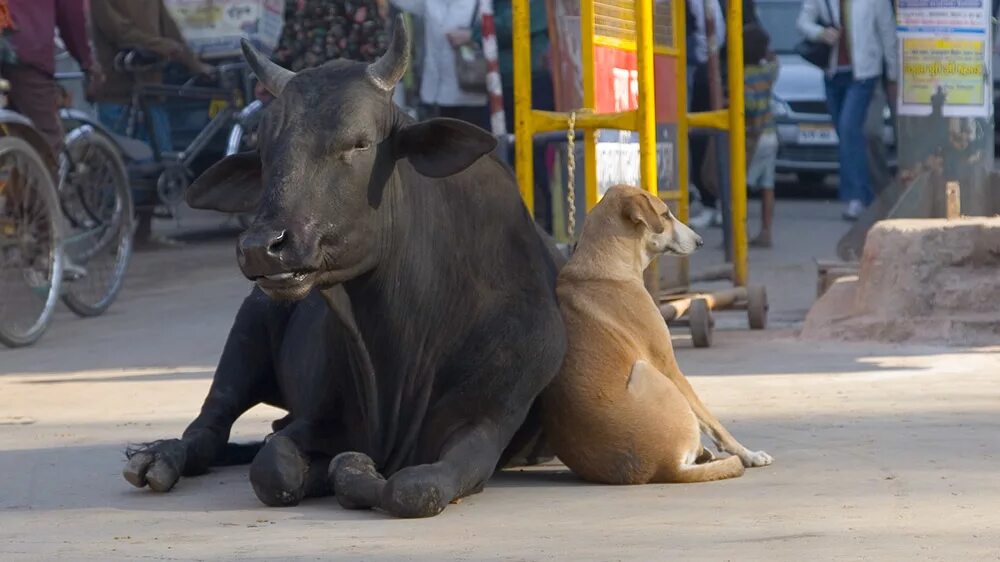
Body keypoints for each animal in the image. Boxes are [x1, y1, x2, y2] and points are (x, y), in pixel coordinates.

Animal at [121, 17, 568, 516]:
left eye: (359, 142)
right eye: (264, 151)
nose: (261, 247)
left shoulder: (485, 423)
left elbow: (414, 488)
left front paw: (352, 473)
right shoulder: (320, 416)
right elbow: (275, 467)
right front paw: (335, 471)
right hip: (247, 332)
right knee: (210, 427)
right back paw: (158, 458)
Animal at [544, 184, 768, 482]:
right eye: (666, 214)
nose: (700, 241)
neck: (608, 267)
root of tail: (663, 467)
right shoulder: (668, 365)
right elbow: (712, 422)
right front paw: (749, 455)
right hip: (647, 370)